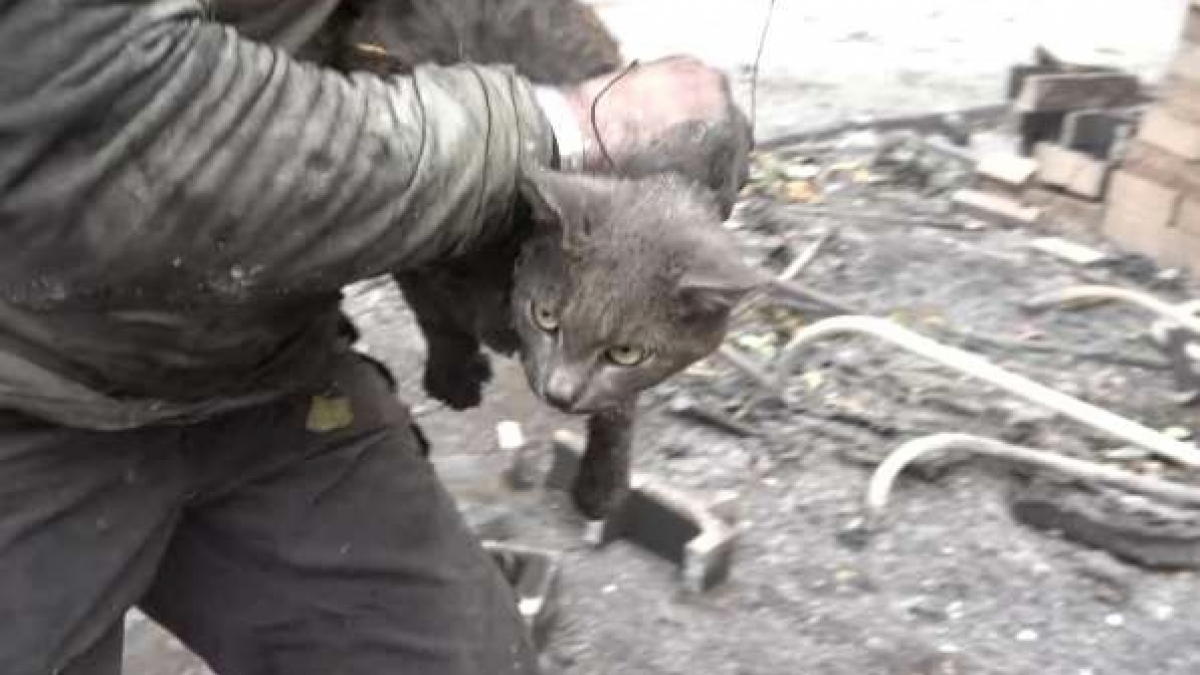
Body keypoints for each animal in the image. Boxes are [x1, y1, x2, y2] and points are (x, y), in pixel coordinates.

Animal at [326, 0, 758, 516]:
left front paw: (604, 478)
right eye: (547, 317)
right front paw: (453, 376)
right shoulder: (408, 238)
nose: (559, 393)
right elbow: (437, 319)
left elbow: (619, 398)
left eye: (628, 351)